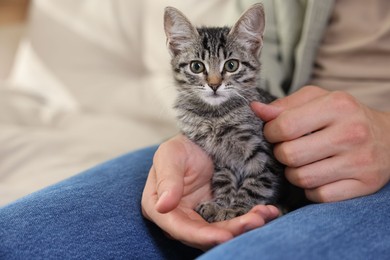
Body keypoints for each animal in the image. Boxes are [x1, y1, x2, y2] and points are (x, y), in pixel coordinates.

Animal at [163, 3, 304, 223]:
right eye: (196, 66)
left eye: (231, 65)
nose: (214, 85)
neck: (215, 117)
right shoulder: (221, 160)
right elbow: (223, 181)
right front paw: (220, 204)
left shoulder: (264, 155)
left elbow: (255, 184)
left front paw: (238, 208)